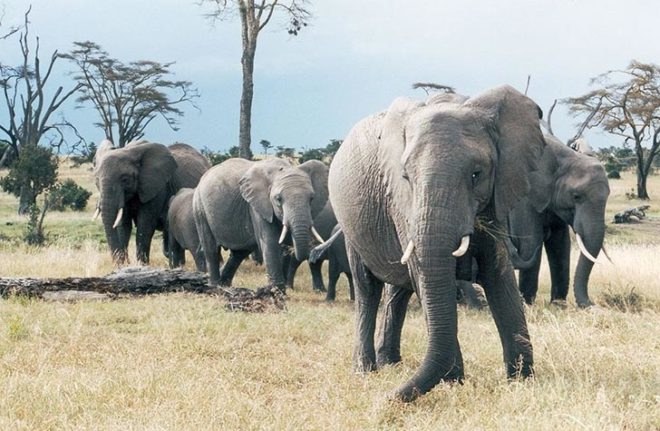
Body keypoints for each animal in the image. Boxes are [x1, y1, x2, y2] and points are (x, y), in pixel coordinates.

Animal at [192, 157, 329, 290]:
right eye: (278, 199)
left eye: (311, 198)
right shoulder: (257, 206)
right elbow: (270, 242)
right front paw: (277, 291)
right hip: (200, 207)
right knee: (211, 249)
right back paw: (214, 286)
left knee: (239, 253)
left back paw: (224, 285)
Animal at [329, 85, 545, 401]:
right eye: (406, 176)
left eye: (476, 174)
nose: (383, 400)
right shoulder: (403, 203)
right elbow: (424, 276)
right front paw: (455, 383)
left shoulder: (496, 196)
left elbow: (499, 274)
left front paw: (521, 380)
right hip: (350, 225)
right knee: (368, 288)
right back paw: (366, 370)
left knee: (398, 291)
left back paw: (390, 364)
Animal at [507, 134, 610, 307]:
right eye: (576, 196)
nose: (592, 305)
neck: (566, 159)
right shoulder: (524, 197)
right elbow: (531, 243)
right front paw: (527, 304)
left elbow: (560, 245)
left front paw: (558, 305)